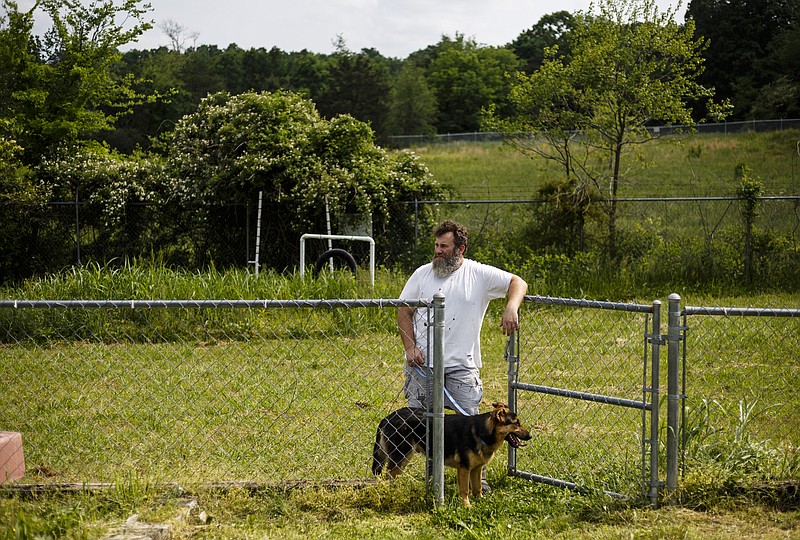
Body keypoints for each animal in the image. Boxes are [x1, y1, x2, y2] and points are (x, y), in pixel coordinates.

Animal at [370, 400, 532, 506]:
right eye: (516, 423)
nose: (530, 436)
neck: (483, 432)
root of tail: (387, 418)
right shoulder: (464, 468)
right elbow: (465, 490)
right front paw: (467, 506)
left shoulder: (476, 469)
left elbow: (477, 487)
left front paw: (480, 501)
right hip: (401, 457)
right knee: (387, 477)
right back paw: (388, 494)